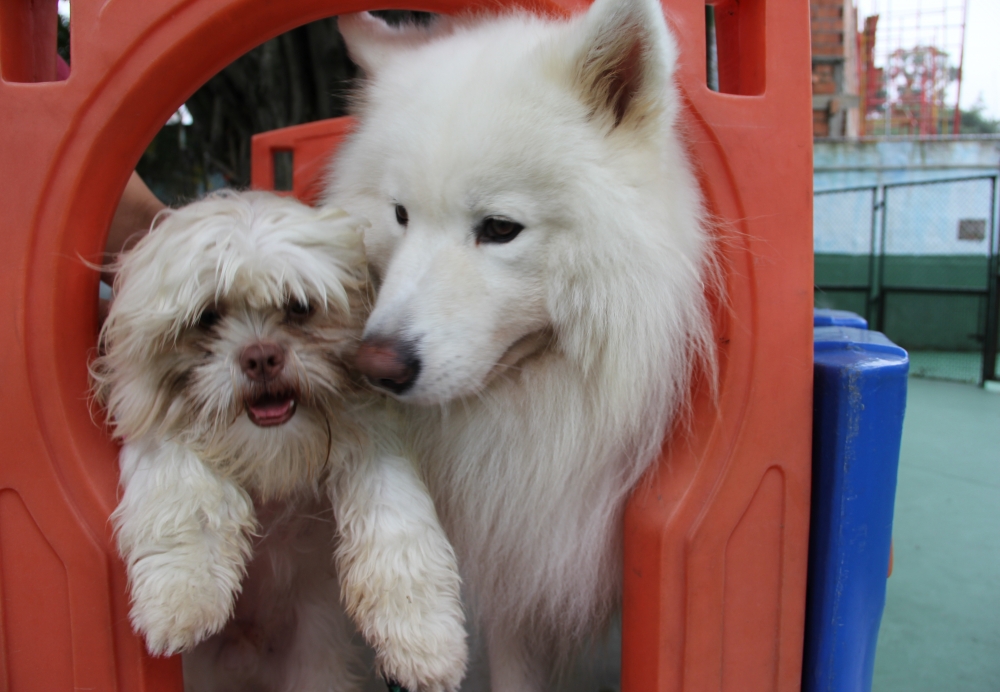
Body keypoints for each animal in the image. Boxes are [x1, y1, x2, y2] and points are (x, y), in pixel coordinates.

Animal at [92, 191, 466, 692]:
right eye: (208, 316)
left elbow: (397, 528)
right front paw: (183, 596)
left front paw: (424, 638)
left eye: (300, 306)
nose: (261, 356)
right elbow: (185, 499)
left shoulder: (373, 444)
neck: (273, 451)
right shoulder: (160, 429)